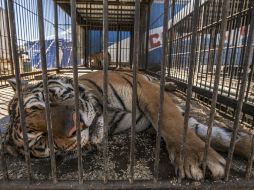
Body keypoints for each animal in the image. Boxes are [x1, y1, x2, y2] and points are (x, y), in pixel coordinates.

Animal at [3, 70, 252, 180]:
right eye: (42, 140)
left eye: (49, 100)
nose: (76, 126)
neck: (107, 111)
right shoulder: (147, 124)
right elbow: (213, 133)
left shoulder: (145, 90)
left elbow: (175, 122)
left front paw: (196, 156)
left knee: (161, 82)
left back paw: (171, 84)